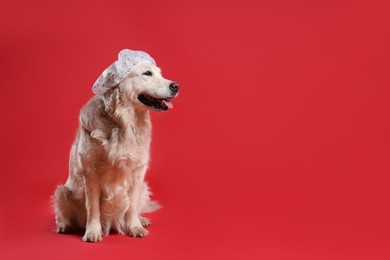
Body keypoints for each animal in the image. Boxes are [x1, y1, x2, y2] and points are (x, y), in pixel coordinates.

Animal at [52, 50, 179, 242]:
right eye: (147, 73)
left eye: (160, 73)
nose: (176, 86)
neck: (124, 123)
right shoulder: (91, 172)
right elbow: (93, 207)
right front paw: (93, 232)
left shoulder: (137, 171)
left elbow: (132, 206)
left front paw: (135, 227)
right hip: (62, 192)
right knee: (64, 215)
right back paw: (63, 226)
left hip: (143, 186)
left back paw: (142, 220)